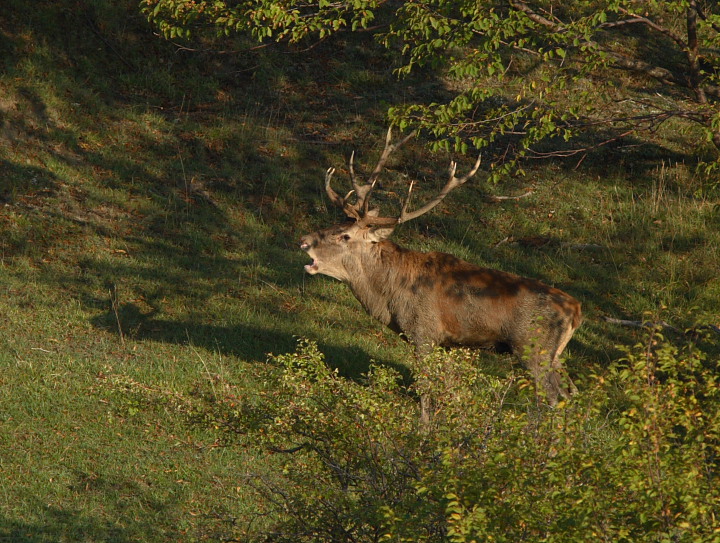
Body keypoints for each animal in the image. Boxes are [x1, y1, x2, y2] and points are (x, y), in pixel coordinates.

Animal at [300, 127, 584, 420]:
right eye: (335, 223)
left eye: (345, 235)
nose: (304, 241)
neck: (388, 296)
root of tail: (576, 310)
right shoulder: (448, 342)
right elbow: (448, 386)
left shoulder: (423, 331)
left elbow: (426, 387)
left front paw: (424, 426)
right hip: (555, 353)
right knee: (571, 393)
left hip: (534, 347)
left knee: (552, 397)